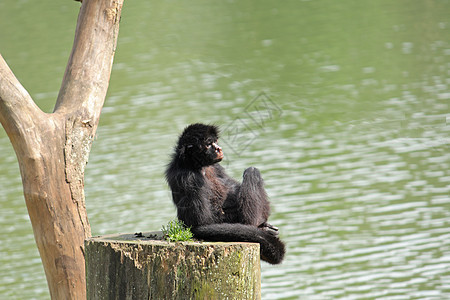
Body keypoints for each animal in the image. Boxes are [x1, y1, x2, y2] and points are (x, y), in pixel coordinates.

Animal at [165, 123, 284, 264]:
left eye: (215, 142)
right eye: (208, 144)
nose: (218, 148)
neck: (196, 165)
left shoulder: (214, 166)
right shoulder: (187, 178)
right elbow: (200, 223)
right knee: (252, 172)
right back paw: (258, 226)